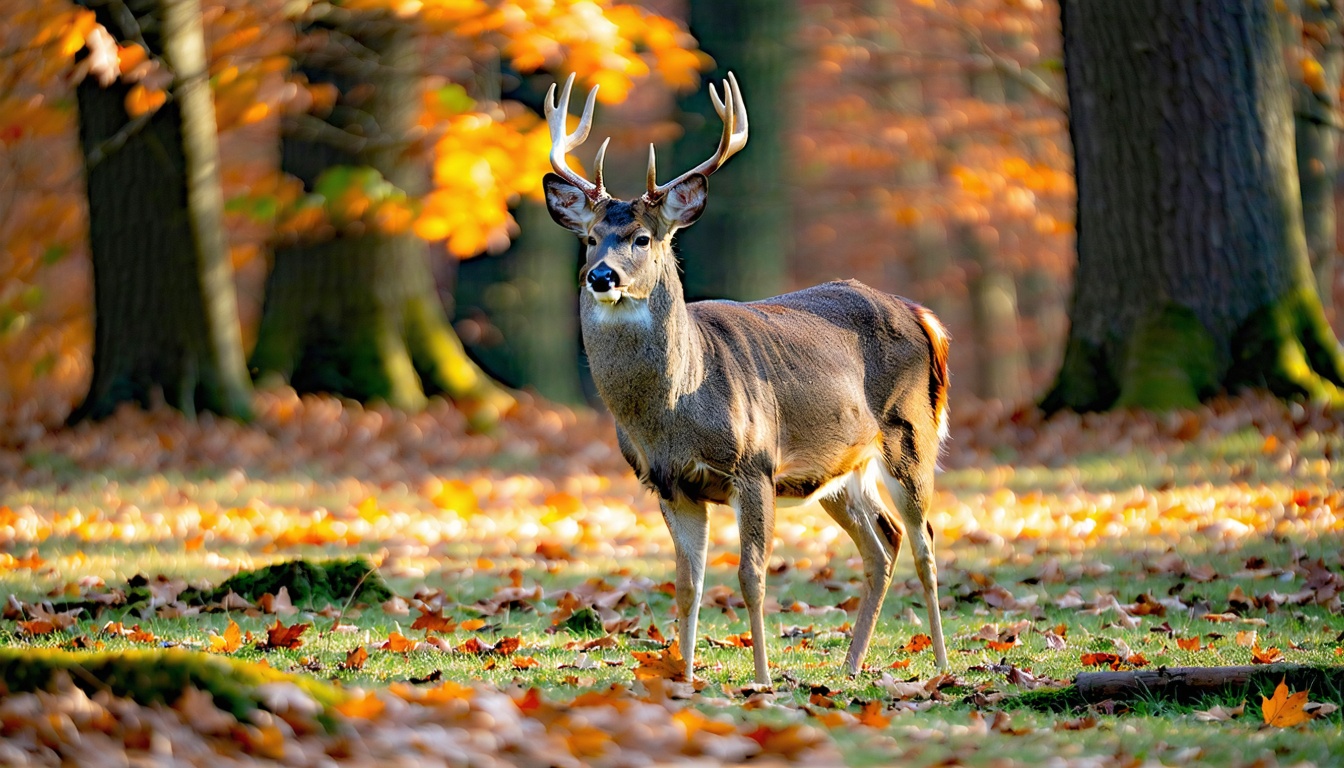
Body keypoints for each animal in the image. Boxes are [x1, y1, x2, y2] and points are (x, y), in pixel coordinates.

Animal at [542, 73, 951, 685]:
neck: (676, 408)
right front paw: (684, 676)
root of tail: (922, 314)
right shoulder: (669, 483)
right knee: (884, 541)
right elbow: (687, 584)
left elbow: (751, 577)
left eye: (643, 238)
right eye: (590, 238)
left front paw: (761, 677)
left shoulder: (754, 465)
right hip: (837, 469)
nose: (601, 276)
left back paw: (943, 665)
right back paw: (852, 664)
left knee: (925, 541)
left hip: (910, 433)